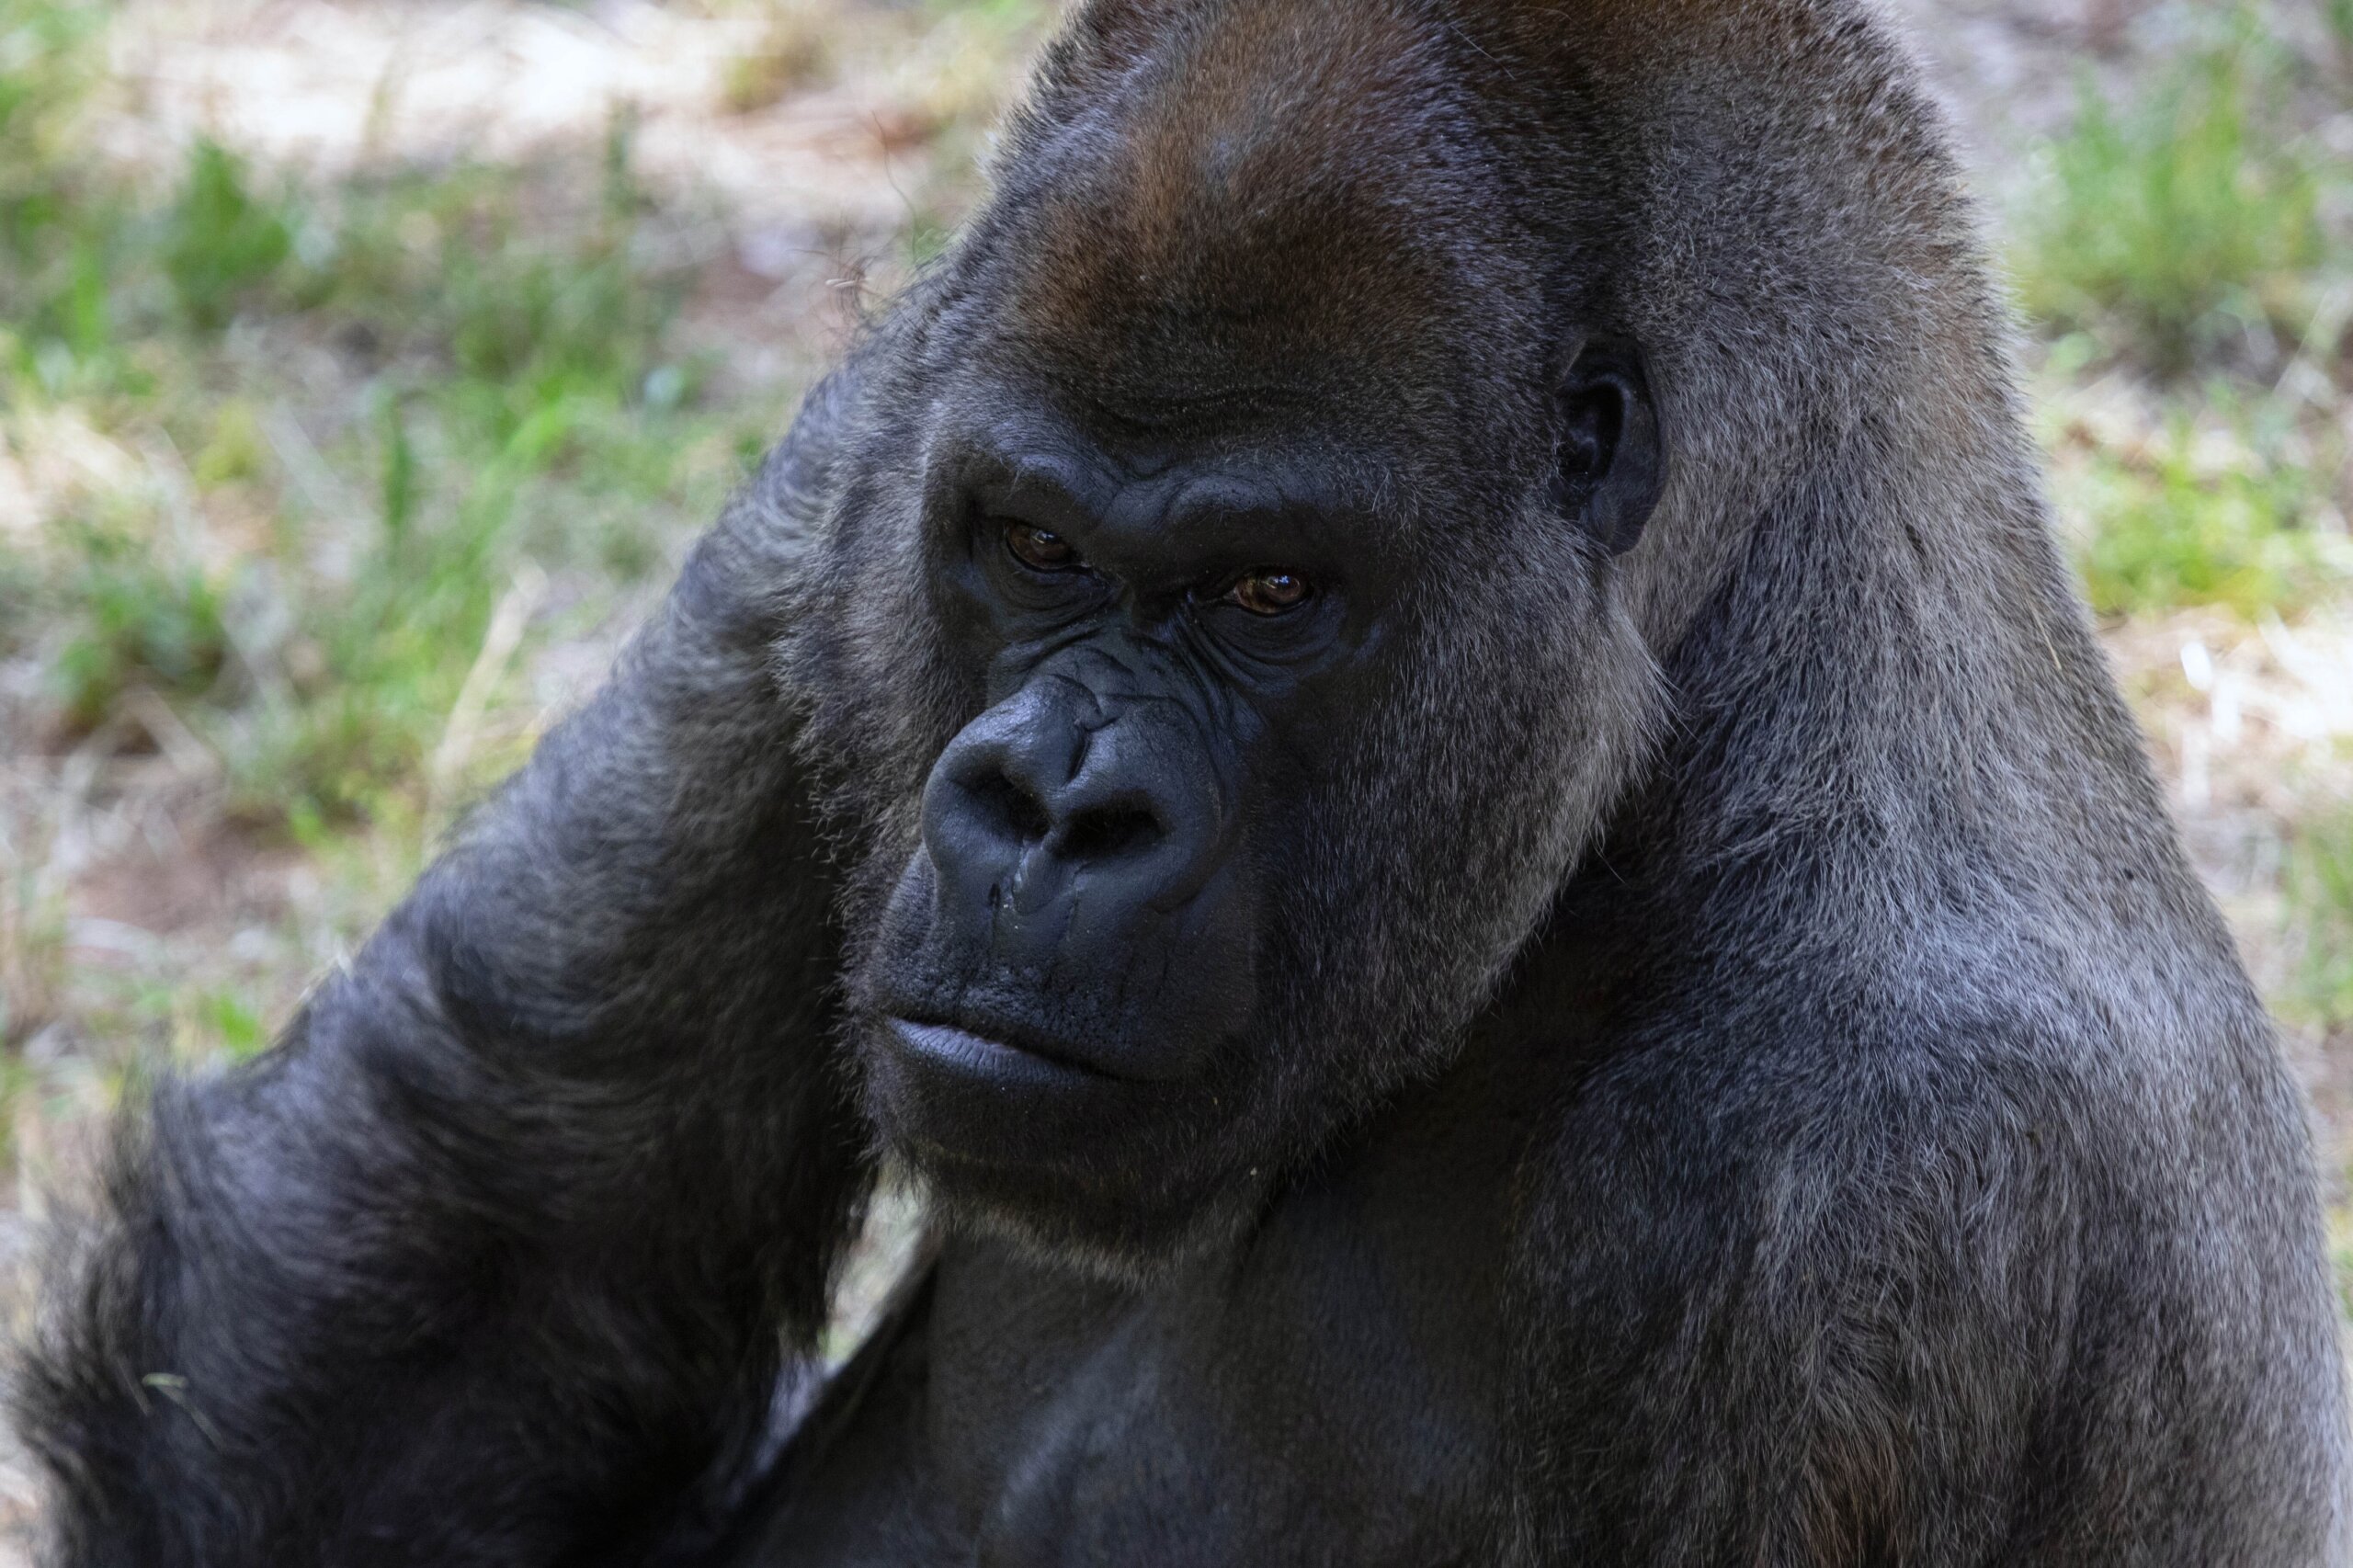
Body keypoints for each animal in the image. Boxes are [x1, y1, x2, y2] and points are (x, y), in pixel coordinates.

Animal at [22, 0, 2353, 1553]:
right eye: (1036, 545)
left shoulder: (1879, 1196)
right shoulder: (873, 437)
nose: (1056, 810)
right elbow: (470, 1239)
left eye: (1265, 588)